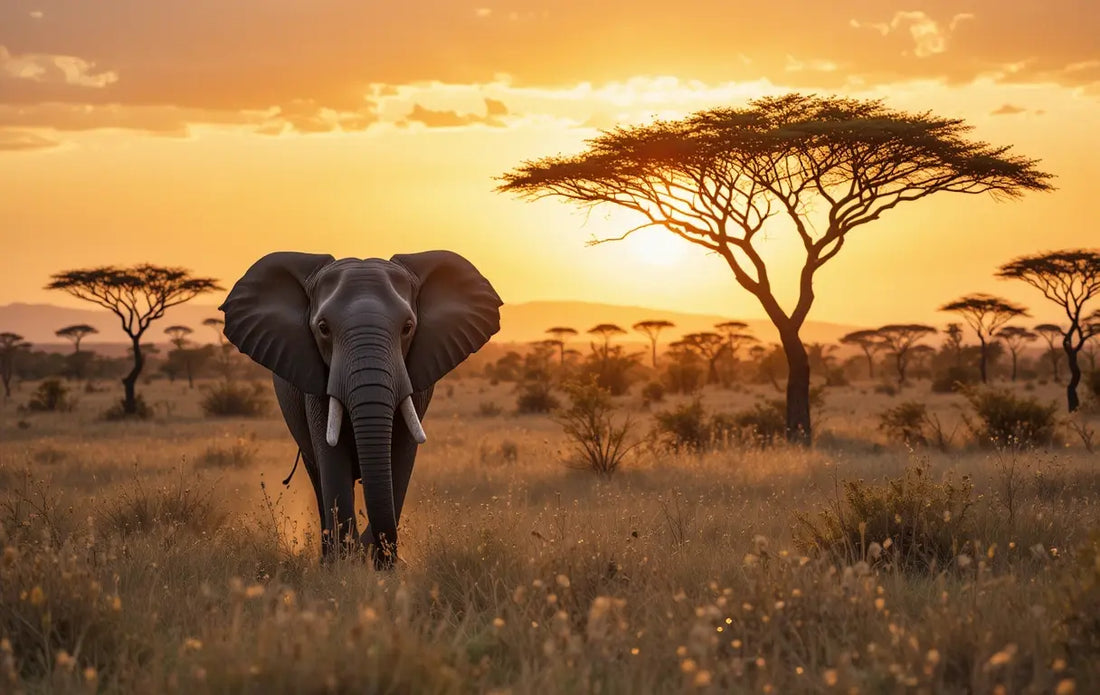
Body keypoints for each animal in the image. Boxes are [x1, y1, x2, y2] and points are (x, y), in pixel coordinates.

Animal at [219, 250, 502, 568]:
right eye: (323, 329)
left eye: (408, 328)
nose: (370, 550)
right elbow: (332, 458)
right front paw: (344, 566)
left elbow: (400, 458)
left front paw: (385, 568)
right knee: (317, 476)